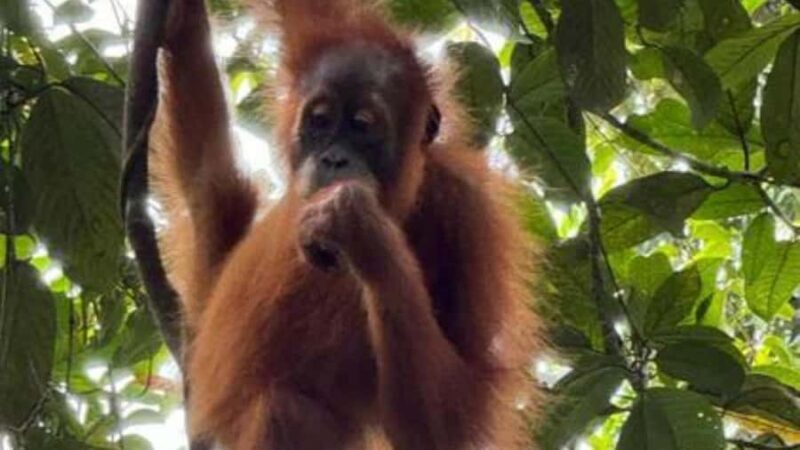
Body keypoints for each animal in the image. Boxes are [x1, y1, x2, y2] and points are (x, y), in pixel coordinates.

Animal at [149, 0, 541, 448]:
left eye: (362, 126)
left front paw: (360, 228)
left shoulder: (469, 214)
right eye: (320, 121)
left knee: (286, 410)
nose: (334, 159)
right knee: (213, 185)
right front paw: (180, 17)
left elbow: (448, 421)